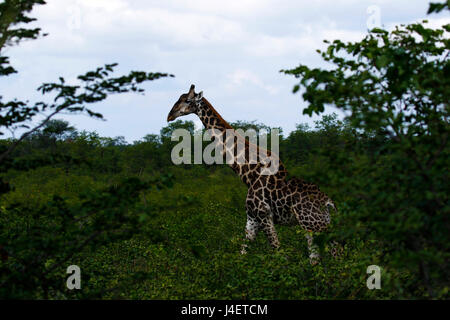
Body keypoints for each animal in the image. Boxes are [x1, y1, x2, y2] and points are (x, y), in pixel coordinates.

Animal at [167, 85, 336, 264]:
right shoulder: (252, 218)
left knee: (327, 253)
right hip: (318, 227)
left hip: (312, 225)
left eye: (187, 100)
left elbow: (278, 250)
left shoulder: (263, 215)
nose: (169, 115)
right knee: (324, 255)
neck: (247, 173)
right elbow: (243, 252)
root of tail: (328, 203)